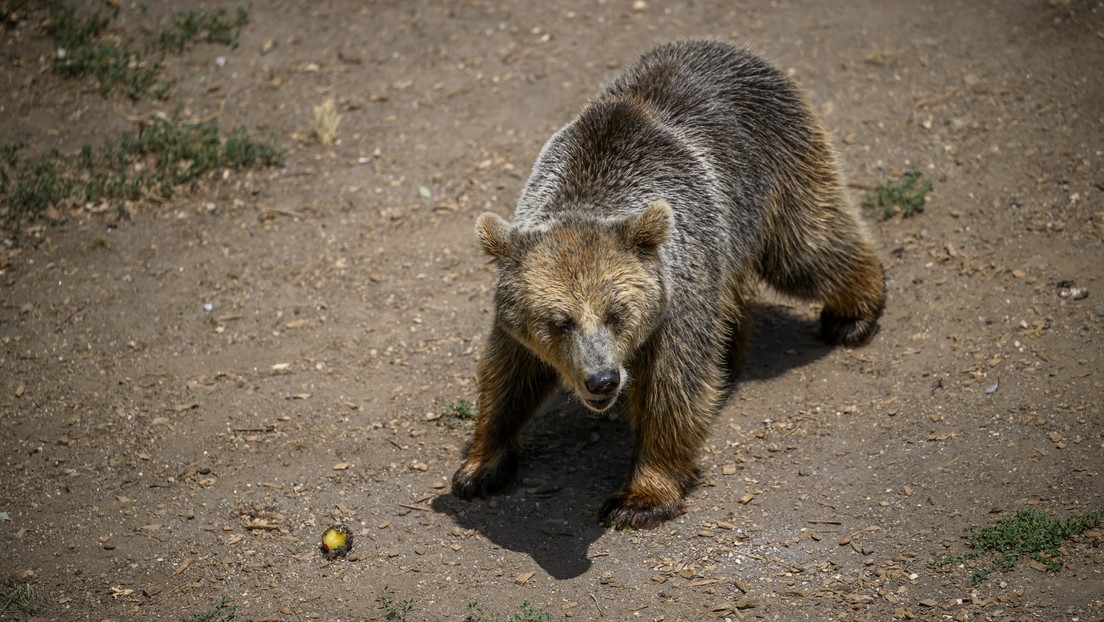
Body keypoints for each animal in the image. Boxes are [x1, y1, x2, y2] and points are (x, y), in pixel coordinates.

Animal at [448, 38, 887, 528]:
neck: (590, 188)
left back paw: (853, 315)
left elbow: (673, 388)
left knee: (809, 247)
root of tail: (728, 47)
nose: (602, 380)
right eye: (558, 321)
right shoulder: (520, 315)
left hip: (773, 169)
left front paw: (639, 497)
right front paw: (480, 467)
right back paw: (732, 355)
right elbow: (508, 374)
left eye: (617, 313)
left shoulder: (675, 296)